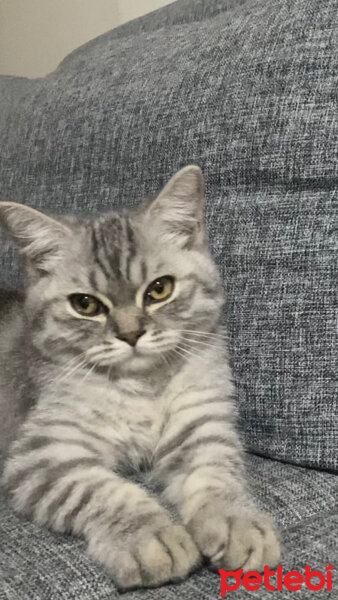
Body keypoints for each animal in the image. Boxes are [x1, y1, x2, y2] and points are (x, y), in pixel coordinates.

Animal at [0, 166, 280, 588]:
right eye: (85, 304)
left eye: (160, 289)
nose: (131, 334)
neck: (143, 387)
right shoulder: (42, 455)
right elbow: (104, 492)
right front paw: (151, 537)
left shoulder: (200, 428)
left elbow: (217, 476)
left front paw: (238, 521)